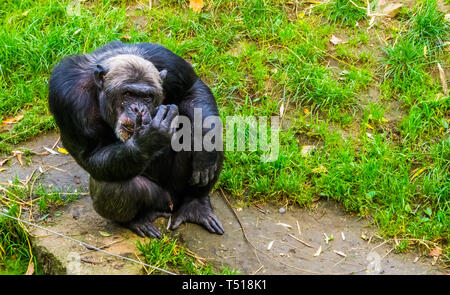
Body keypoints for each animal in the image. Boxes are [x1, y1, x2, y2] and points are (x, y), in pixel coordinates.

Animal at [48, 41, 224, 239]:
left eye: (147, 97)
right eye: (128, 94)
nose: (138, 109)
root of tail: (170, 205)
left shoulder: (168, 62)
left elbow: (192, 88)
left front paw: (204, 148)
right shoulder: (67, 96)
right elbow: (91, 154)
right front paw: (149, 139)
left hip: (178, 190)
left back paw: (196, 204)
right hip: (159, 200)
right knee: (112, 186)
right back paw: (137, 221)